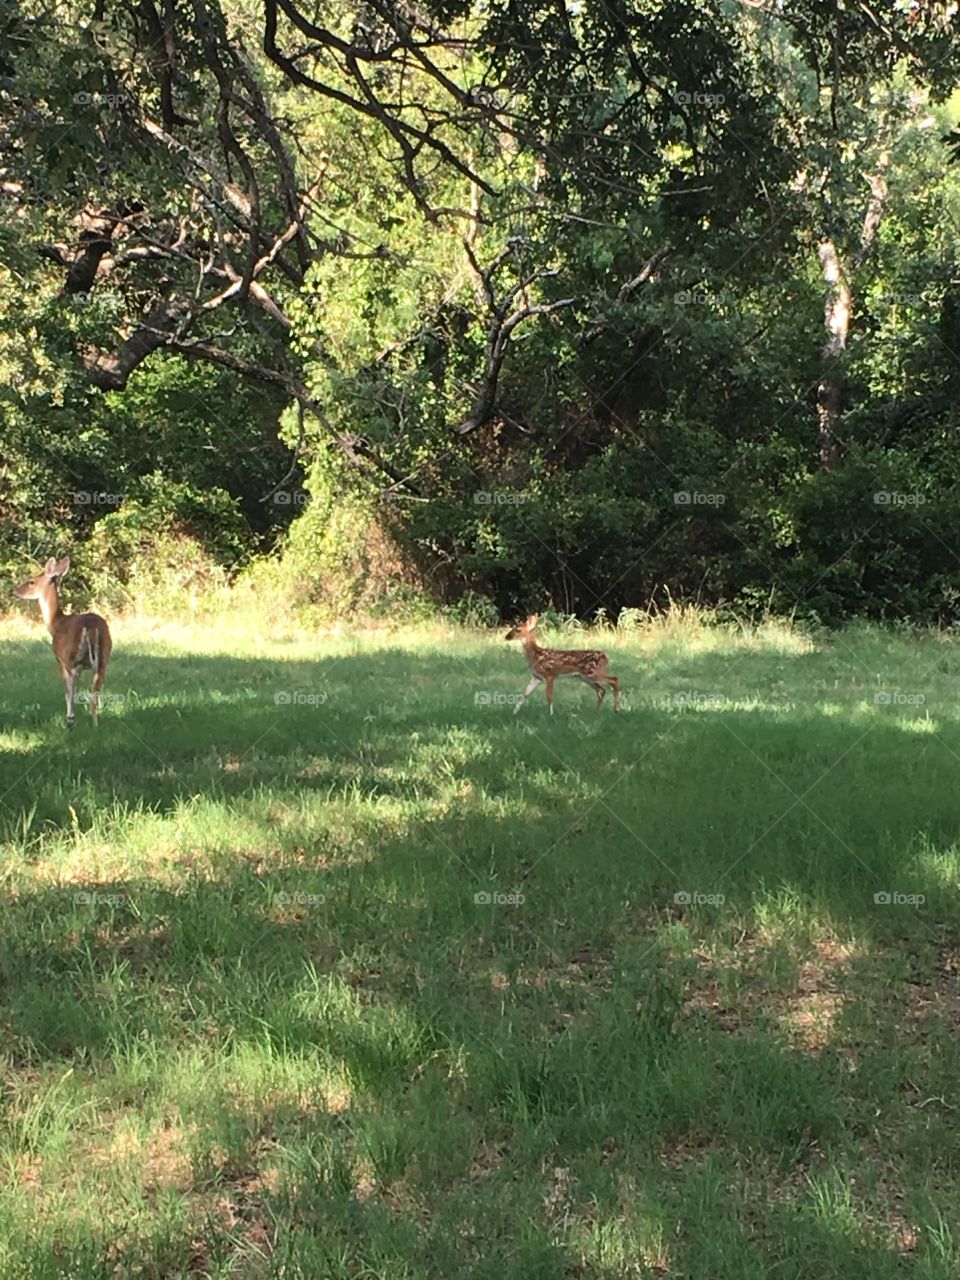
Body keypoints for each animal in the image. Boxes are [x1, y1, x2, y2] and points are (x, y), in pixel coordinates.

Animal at [15, 555, 112, 727]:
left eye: (31, 581)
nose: (15, 592)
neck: (56, 623)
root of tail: (91, 627)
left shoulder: (60, 659)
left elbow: (67, 691)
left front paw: (70, 718)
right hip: (104, 657)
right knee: (94, 692)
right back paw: (95, 724)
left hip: (71, 657)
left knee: (73, 689)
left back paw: (72, 720)